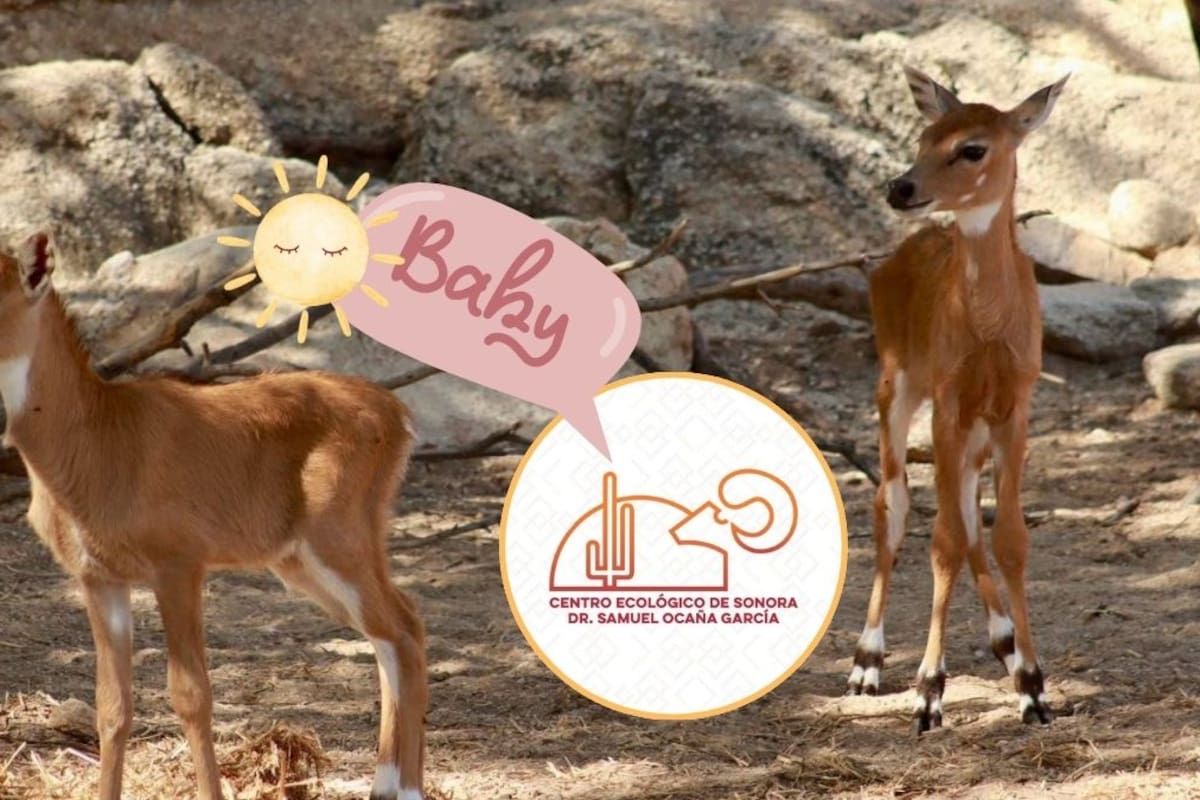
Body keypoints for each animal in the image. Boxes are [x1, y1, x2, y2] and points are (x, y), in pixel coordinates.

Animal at [0, 233, 427, 800]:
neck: (94, 446)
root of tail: (398, 415)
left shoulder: (179, 561)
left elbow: (191, 695)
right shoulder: (97, 577)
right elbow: (112, 706)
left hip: (340, 533)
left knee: (403, 628)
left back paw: (407, 788)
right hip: (302, 557)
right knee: (393, 630)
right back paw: (386, 784)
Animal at [845, 68, 1069, 732]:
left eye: (972, 148)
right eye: (924, 137)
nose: (901, 187)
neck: (990, 330)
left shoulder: (1015, 404)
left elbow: (1009, 536)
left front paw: (1034, 687)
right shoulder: (947, 397)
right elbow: (940, 539)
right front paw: (927, 693)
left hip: (970, 426)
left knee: (967, 511)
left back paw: (1004, 643)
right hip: (896, 382)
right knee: (892, 504)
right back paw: (867, 661)